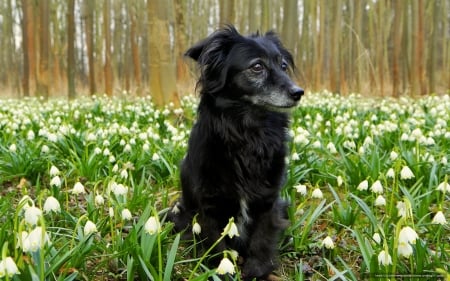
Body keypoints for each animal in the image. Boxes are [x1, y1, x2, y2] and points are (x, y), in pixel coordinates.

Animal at [171, 25, 304, 278]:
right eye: (257, 67)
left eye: (283, 66)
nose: (298, 92)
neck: (248, 133)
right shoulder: (209, 203)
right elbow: (215, 241)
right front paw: (221, 269)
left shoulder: (268, 199)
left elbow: (262, 237)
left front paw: (258, 269)